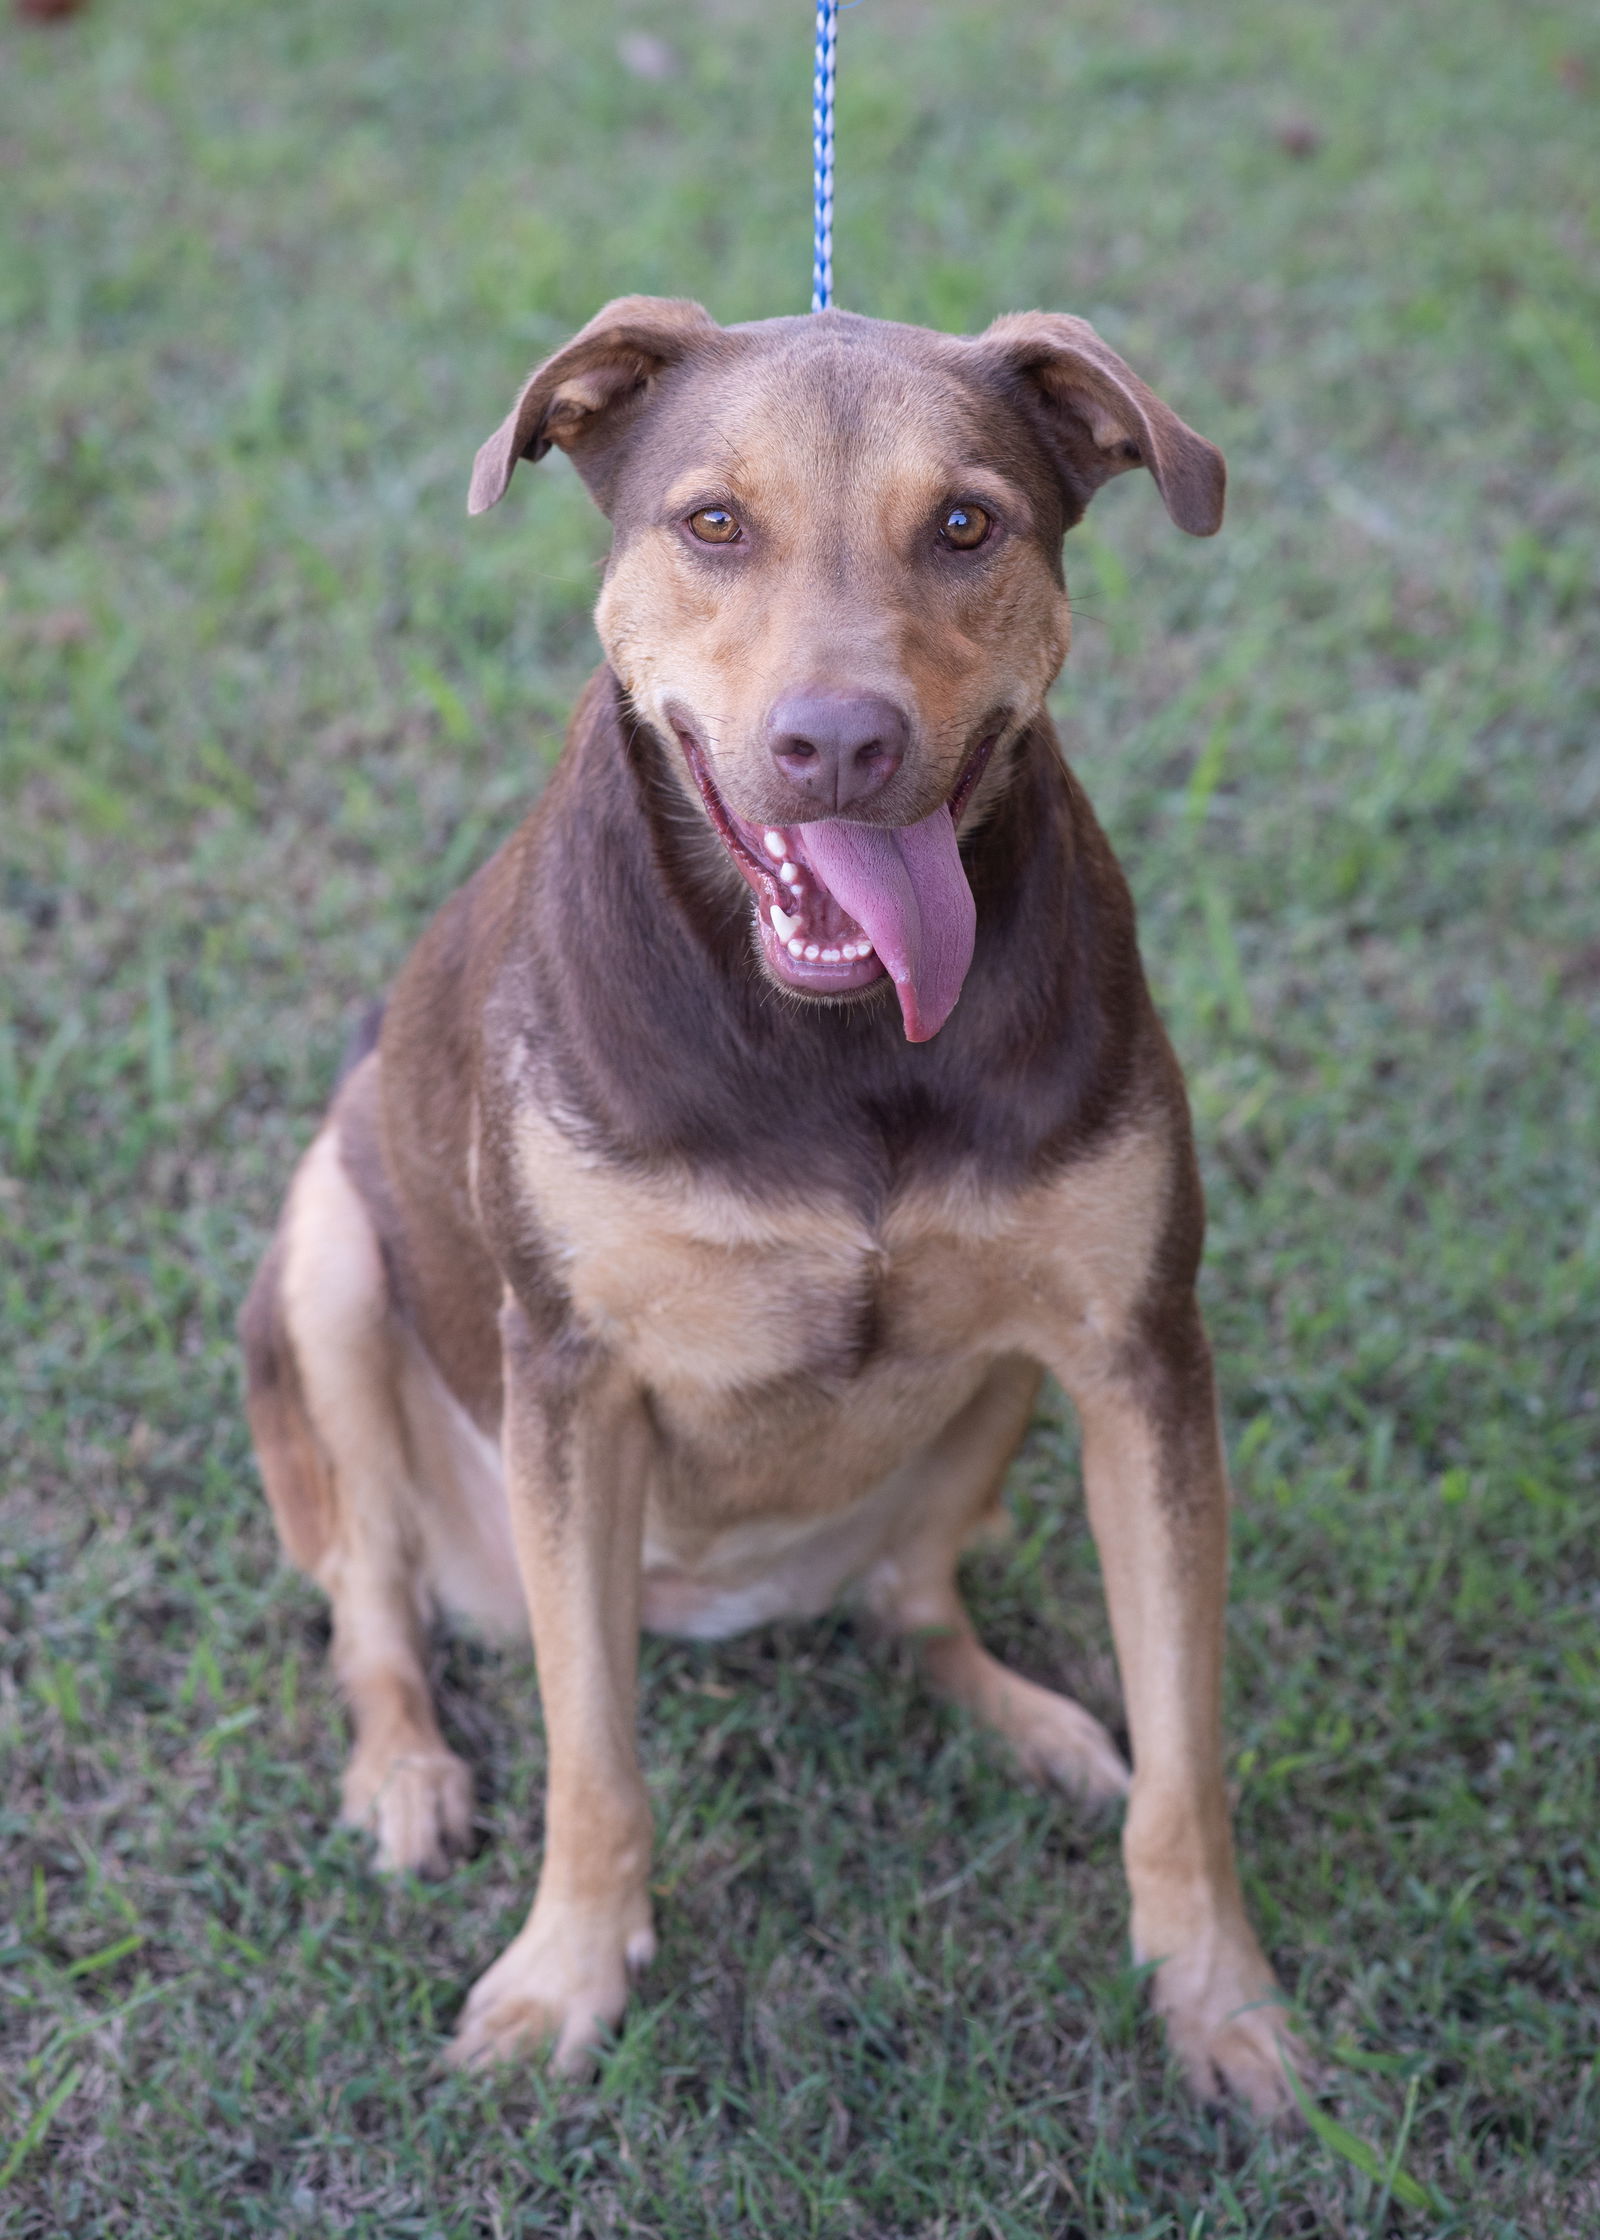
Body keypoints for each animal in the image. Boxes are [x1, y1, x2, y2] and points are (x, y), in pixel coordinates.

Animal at [239, 297, 1308, 2114]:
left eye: (967, 525)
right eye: (714, 523)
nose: (840, 744)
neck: (838, 1032)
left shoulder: (1140, 1354)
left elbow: (1190, 1749)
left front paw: (1219, 1999)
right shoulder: (571, 1376)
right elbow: (592, 1756)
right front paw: (565, 1979)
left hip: (1006, 1390)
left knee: (912, 1595)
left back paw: (1030, 1723)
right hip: (323, 1254)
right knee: (372, 1598)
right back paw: (403, 1774)